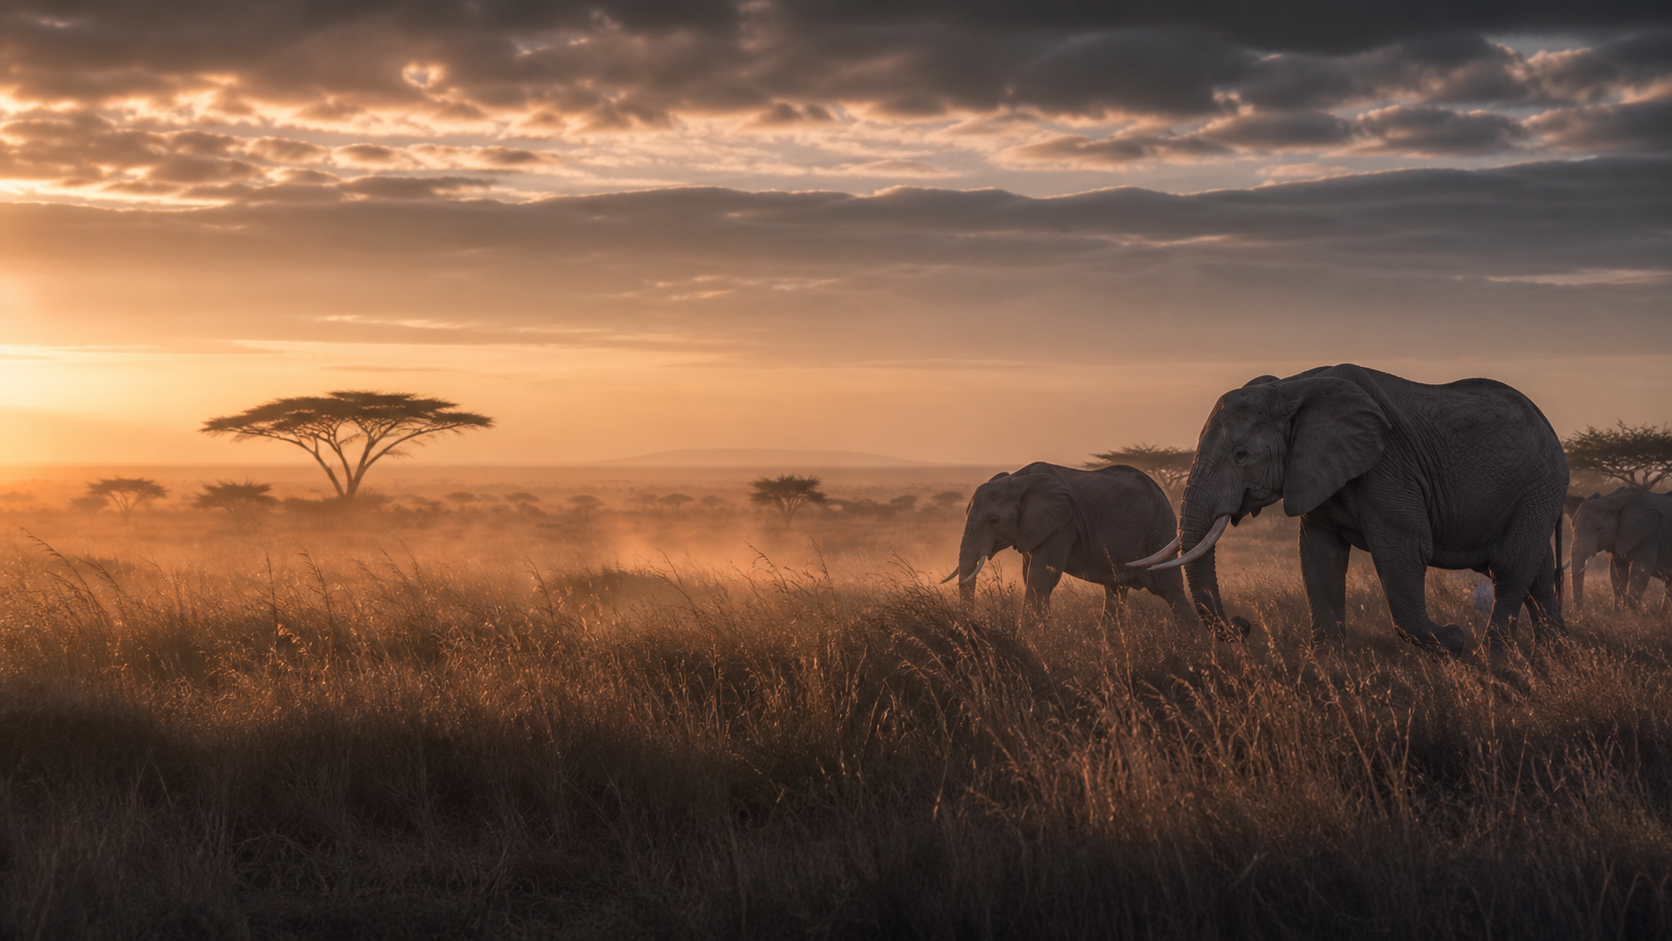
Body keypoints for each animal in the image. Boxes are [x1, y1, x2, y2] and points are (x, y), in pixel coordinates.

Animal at [943, 462, 1199, 628]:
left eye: (994, 520)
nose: (970, 626)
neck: (1016, 479)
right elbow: (1031, 576)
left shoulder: (1062, 524)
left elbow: (1042, 577)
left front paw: (1029, 637)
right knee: (1116, 591)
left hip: (1159, 532)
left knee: (1170, 590)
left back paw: (1192, 647)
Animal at [1131, 364, 1568, 655]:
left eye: (1241, 455)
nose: (1243, 625)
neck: (1292, 387)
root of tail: (1550, 427)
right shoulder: (1315, 471)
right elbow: (1319, 556)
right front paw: (1327, 667)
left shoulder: (1389, 467)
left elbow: (1404, 552)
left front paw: (1453, 639)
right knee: (1537, 574)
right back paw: (1553, 661)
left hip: (1540, 485)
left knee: (1509, 566)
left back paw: (1493, 660)